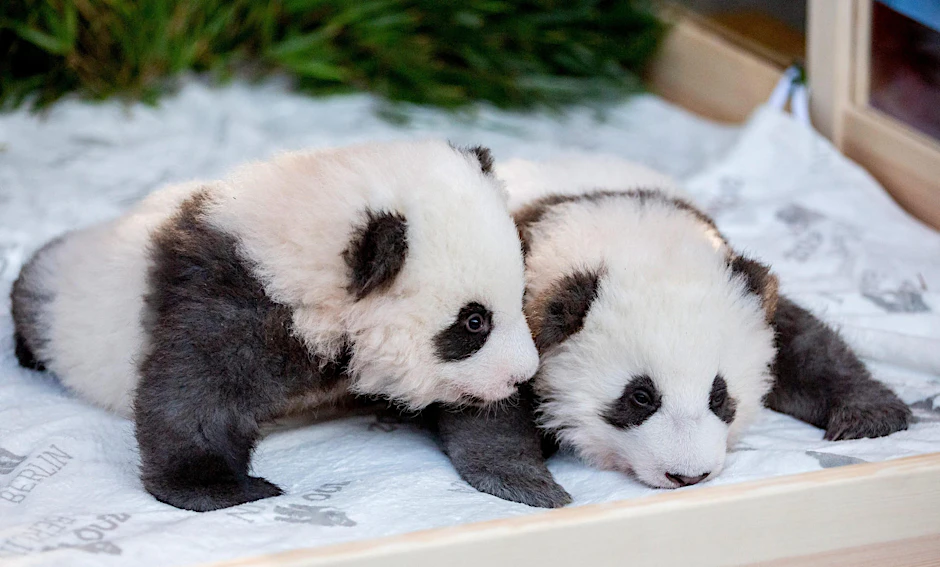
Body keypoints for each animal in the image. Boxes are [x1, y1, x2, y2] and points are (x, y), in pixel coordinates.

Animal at [10, 140, 540, 512]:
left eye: (520, 296)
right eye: (473, 322)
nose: (523, 376)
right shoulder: (231, 297)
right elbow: (192, 395)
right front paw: (222, 490)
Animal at [434, 156, 911, 508]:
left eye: (719, 396)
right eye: (640, 397)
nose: (688, 476)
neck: (634, 240)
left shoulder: (743, 287)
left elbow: (806, 346)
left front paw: (869, 415)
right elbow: (488, 397)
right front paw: (527, 483)